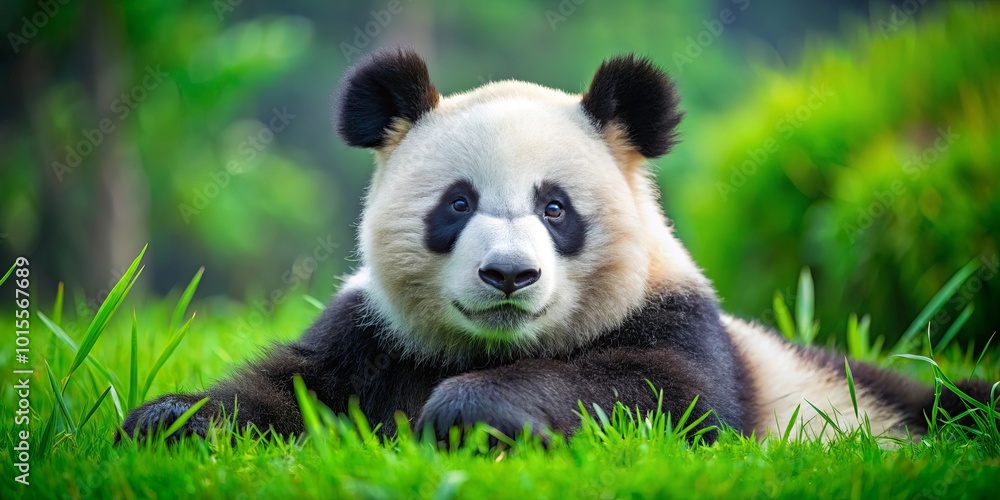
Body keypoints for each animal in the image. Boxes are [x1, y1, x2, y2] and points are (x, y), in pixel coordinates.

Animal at [120, 48, 995, 444]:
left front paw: (469, 414)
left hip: (859, 387)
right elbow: (296, 387)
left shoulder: (680, 323)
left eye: (555, 208)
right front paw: (167, 417)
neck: (496, 345)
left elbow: (662, 393)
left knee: (948, 398)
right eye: (458, 204)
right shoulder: (374, 334)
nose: (508, 274)